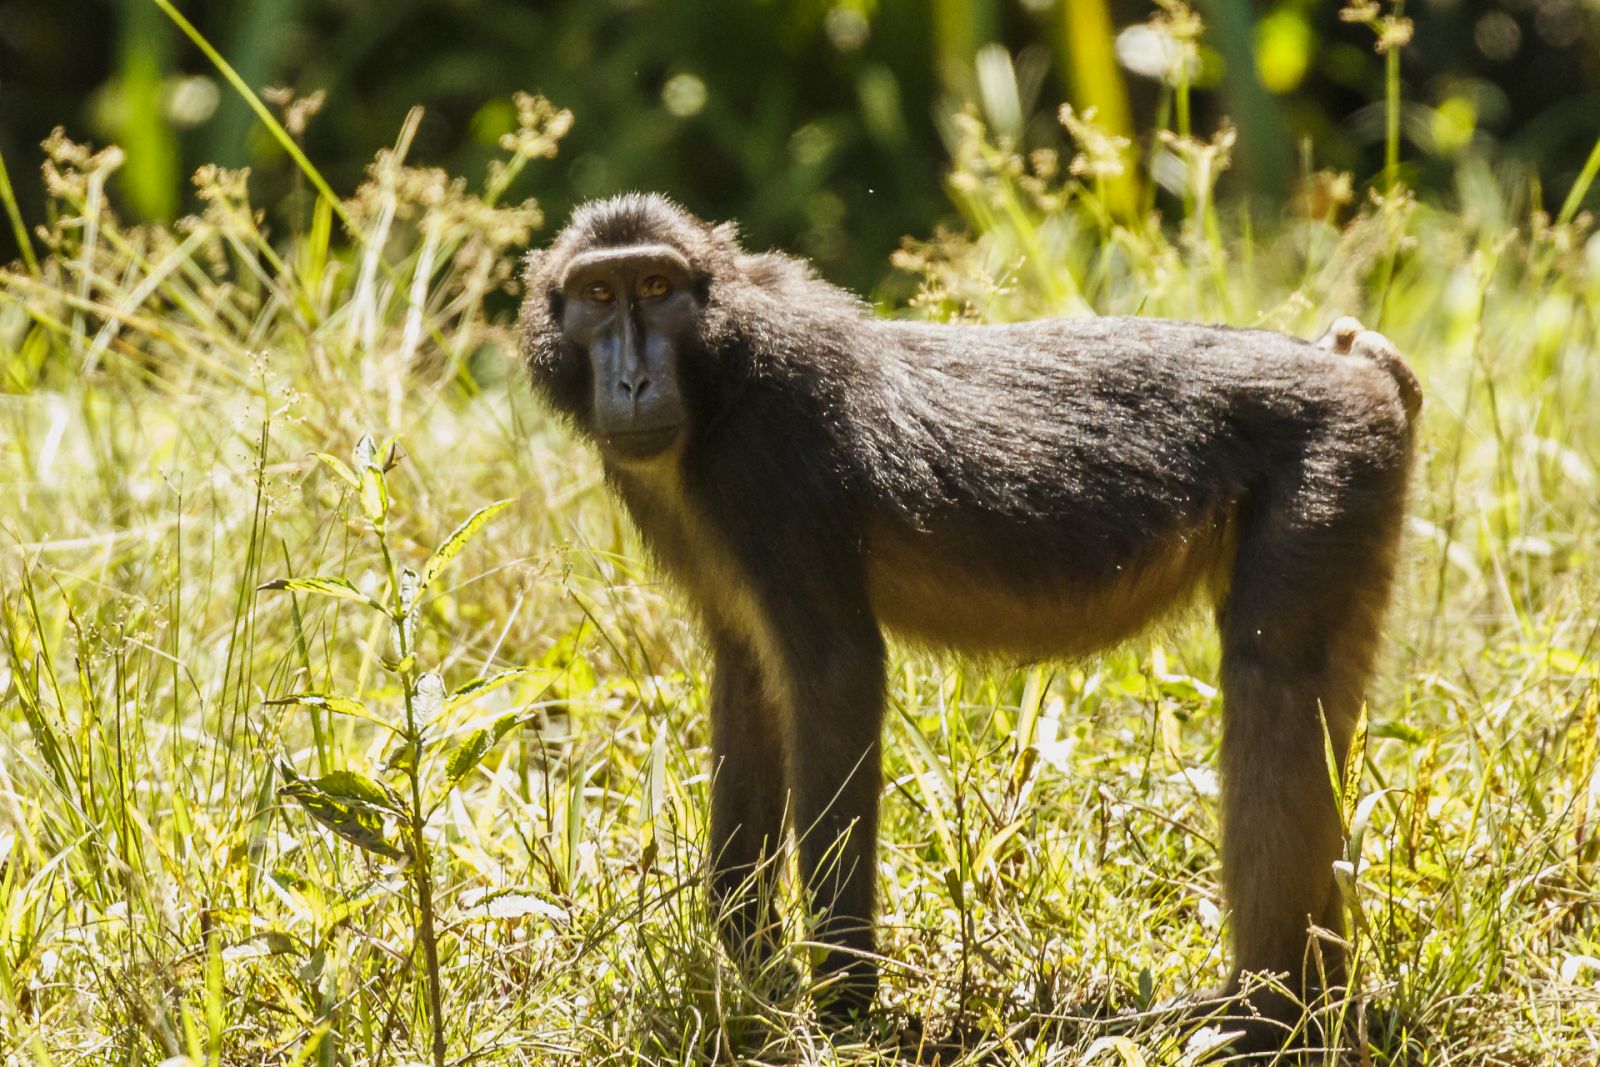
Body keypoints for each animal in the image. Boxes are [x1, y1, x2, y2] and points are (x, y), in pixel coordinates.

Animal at [518, 194, 1420, 1049]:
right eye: (599, 295)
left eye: (655, 288)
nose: (632, 382)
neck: (719, 374)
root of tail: (1345, 364)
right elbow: (749, 678)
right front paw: (747, 973)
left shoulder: (769, 461)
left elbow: (835, 673)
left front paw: (841, 1011)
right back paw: (1314, 1007)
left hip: (1333, 458)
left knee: (1274, 683)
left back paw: (1267, 1015)